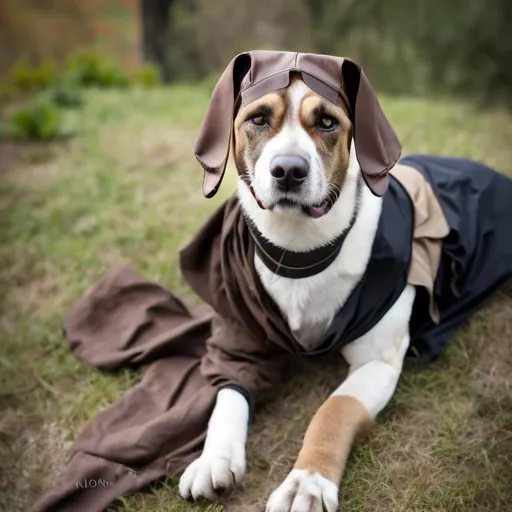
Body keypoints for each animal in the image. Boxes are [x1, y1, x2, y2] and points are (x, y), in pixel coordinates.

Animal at [178, 52, 512, 512]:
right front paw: (214, 456)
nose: (288, 171)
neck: (299, 249)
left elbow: (332, 410)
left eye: (327, 122)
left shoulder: (377, 360)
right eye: (259, 118)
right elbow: (226, 395)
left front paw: (307, 481)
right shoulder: (238, 338)